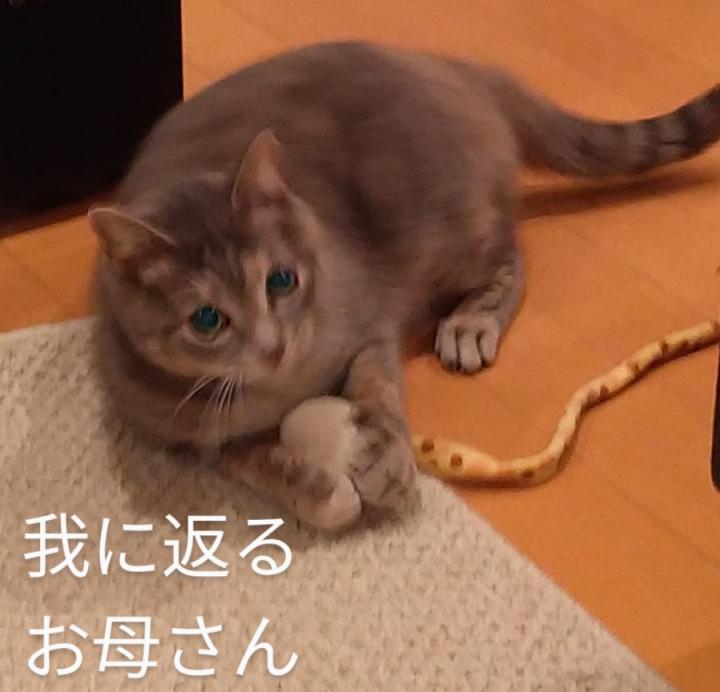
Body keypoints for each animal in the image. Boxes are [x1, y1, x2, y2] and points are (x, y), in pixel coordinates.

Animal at [90, 41, 720, 528]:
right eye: (207, 319)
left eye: (281, 280)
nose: (273, 347)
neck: (284, 386)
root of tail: (458, 67)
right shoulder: (188, 434)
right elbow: (251, 458)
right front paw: (317, 491)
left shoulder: (365, 323)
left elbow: (378, 391)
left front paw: (386, 464)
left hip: (455, 225)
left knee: (511, 258)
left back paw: (469, 323)